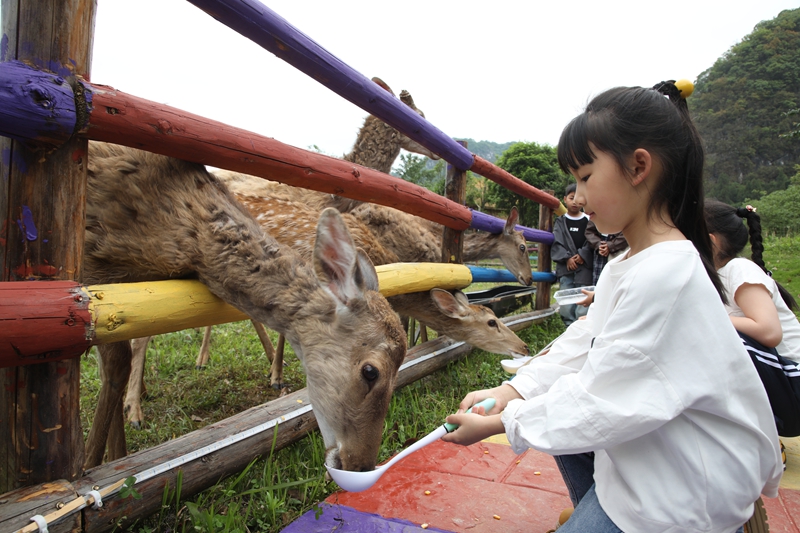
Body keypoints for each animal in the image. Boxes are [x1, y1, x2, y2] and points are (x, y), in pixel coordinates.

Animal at [82, 142, 406, 473]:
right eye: (371, 371)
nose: (361, 464)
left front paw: (114, 457)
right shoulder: (93, 275)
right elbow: (116, 359)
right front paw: (90, 465)